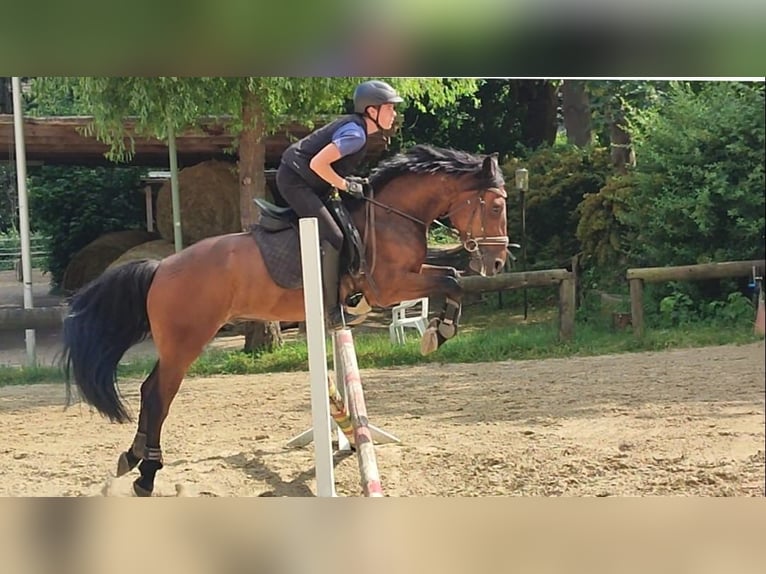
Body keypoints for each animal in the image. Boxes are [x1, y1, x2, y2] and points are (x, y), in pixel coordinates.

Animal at [62, 144, 509, 496]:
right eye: (497, 205)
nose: (498, 263)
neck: (391, 215)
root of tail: (160, 267)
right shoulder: (388, 286)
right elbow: (451, 279)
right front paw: (439, 332)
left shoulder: (408, 276)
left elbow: (450, 277)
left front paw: (439, 330)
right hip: (187, 342)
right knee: (158, 396)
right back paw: (148, 474)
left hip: (177, 344)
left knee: (148, 389)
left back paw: (132, 457)